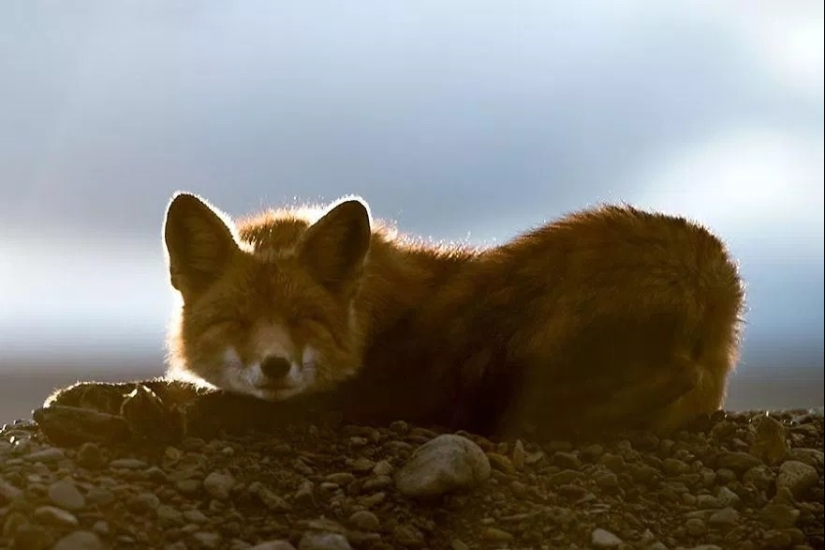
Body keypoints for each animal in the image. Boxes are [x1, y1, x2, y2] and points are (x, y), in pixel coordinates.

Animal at [41, 192, 744, 442]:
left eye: (306, 319)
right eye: (236, 321)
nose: (275, 367)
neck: (369, 312)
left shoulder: (342, 396)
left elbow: (190, 401)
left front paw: (113, 411)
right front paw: (83, 394)